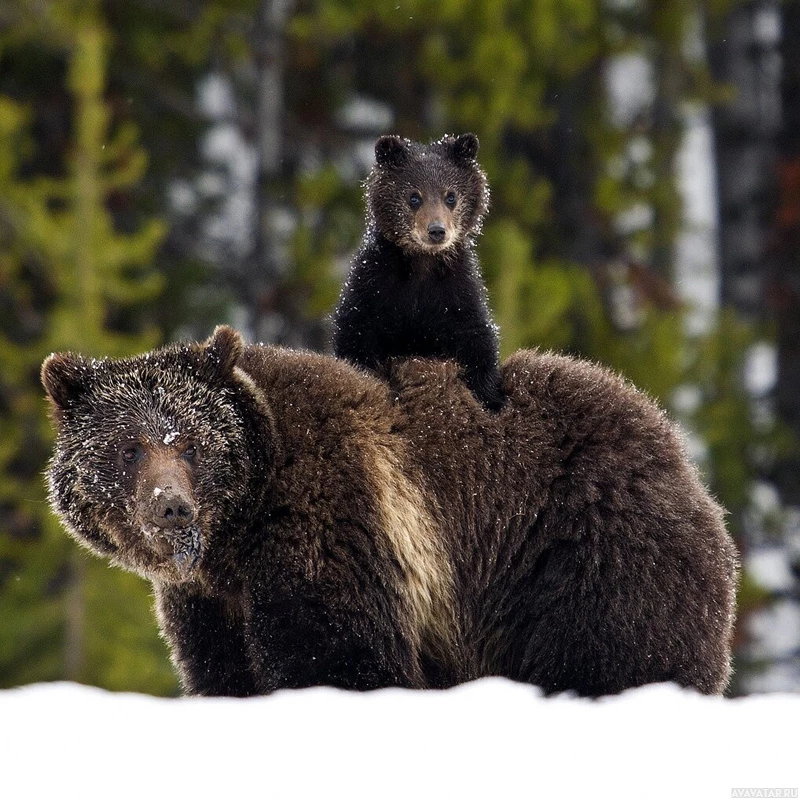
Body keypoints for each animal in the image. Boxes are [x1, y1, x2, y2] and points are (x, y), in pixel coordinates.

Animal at [39, 328, 736, 696]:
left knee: (618, 654)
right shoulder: (208, 600)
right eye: (129, 446)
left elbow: (335, 655)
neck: (238, 533)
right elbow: (223, 670)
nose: (172, 508)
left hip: (582, 555)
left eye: (189, 441)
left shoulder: (333, 519)